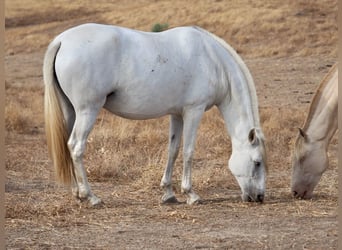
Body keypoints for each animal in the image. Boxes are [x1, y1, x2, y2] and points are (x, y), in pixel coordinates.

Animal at [43, 23, 268, 206]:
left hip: (71, 111)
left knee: (67, 146)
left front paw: (168, 193)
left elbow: (173, 150)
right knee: (76, 147)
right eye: (257, 162)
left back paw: (77, 194)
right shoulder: (193, 111)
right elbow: (188, 151)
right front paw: (191, 194)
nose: (259, 197)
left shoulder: (177, 115)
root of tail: (62, 40)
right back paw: (90, 197)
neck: (212, 60)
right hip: (87, 111)